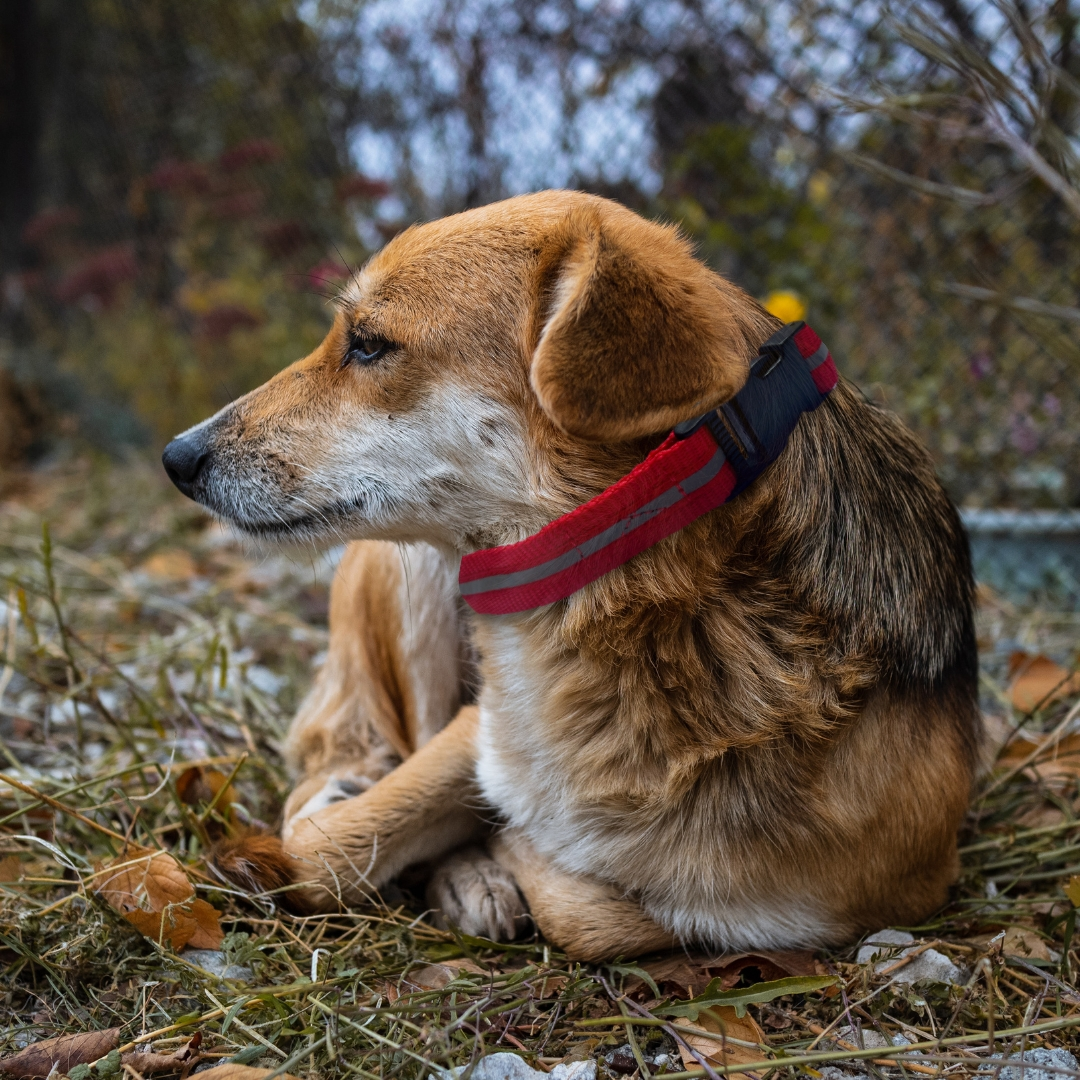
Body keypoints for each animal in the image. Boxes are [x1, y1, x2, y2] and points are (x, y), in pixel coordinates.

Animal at [162, 187, 989, 963]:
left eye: (368, 345)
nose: (177, 457)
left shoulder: (874, 894)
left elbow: (596, 911)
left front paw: (516, 848)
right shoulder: (477, 728)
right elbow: (322, 847)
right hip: (408, 576)